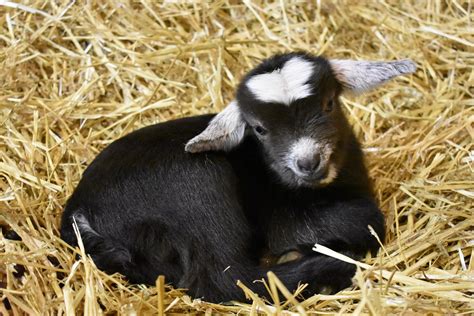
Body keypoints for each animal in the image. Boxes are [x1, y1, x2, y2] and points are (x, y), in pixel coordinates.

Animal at [62, 52, 414, 304]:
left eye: (329, 104)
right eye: (259, 128)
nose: (307, 163)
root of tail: (79, 210)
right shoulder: (285, 219)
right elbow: (366, 218)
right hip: (199, 185)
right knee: (225, 279)